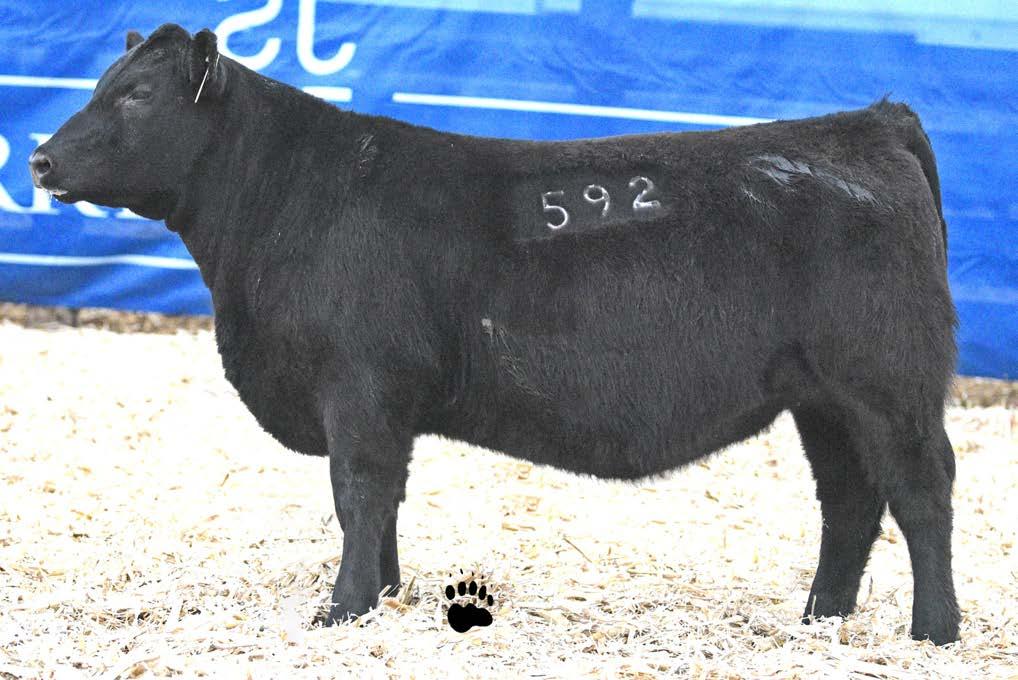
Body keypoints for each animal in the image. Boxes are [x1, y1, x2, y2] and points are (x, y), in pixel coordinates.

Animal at [30, 24, 960, 644]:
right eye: (103, 81)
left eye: (136, 94)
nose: (38, 160)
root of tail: (868, 122)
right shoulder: (383, 403)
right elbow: (383, 500)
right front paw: (386, 598)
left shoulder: (358, 386)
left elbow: (357, 492)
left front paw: (341, 611)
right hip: (823, 398)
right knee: (850, 500)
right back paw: (819, 623)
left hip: (890, 381)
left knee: (921, 494)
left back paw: (934, 632)